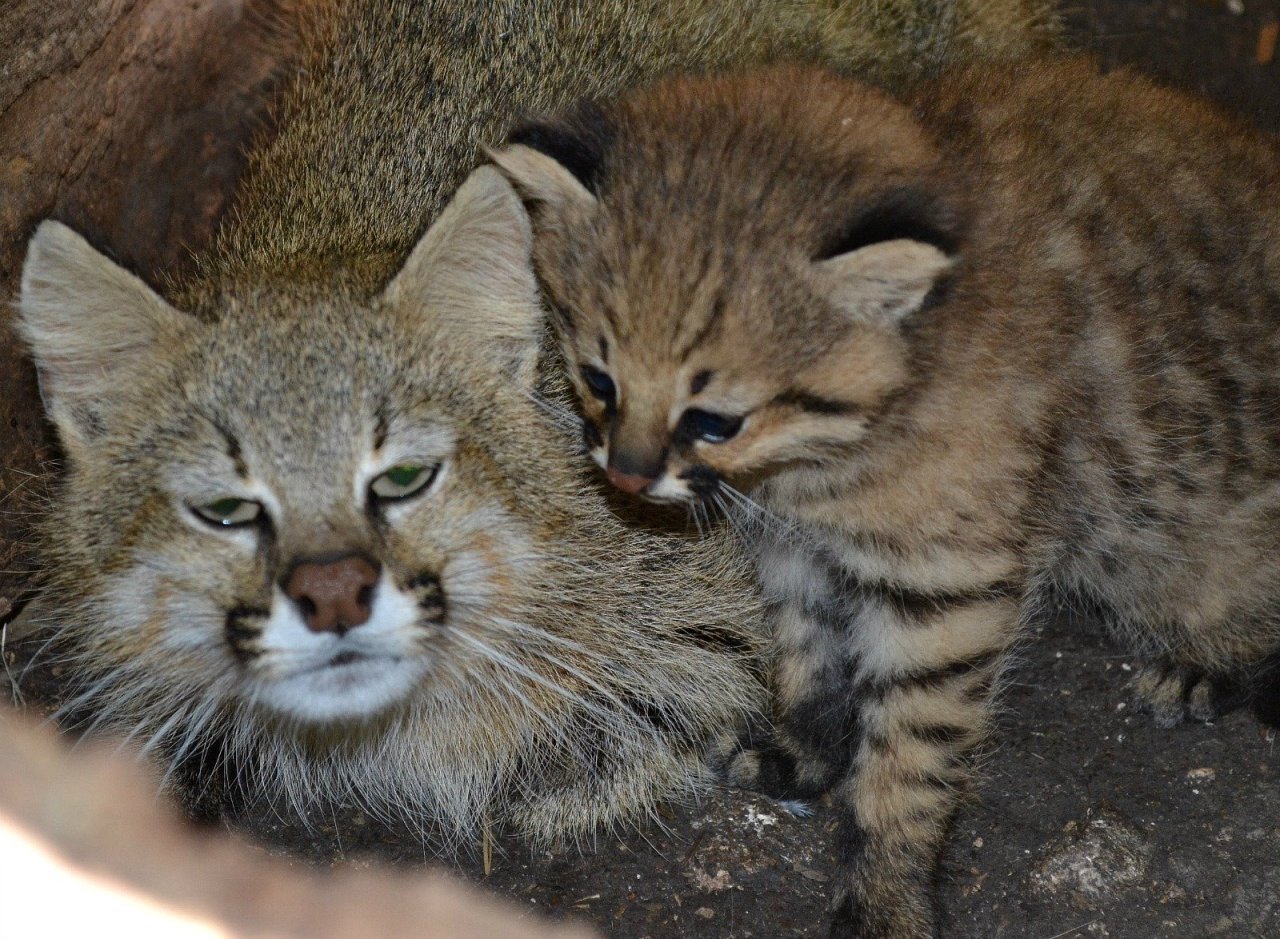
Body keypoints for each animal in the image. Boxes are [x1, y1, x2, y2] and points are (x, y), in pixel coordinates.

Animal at [494, 56, 1280, 936]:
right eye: (600, 380)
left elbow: (910, 754)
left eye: (714, 419)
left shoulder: (947, 587)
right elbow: (803, 651)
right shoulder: (792, 546)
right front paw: (807, 748)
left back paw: (1214, 661)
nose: (626, 477)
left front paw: (885, 888)